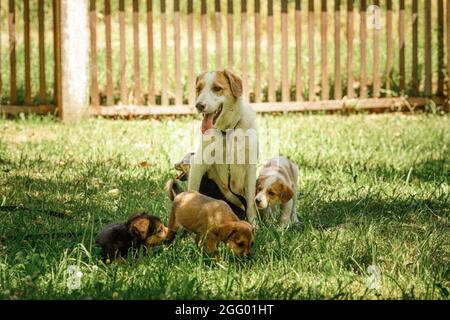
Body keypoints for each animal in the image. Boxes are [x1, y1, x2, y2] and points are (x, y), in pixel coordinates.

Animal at [186, 69, 258, 225]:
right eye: (199, 89)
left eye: (217, 88)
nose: (199, 105)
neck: (227, 131)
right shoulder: (198, 165)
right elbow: (191, 193)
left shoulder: (250, 167)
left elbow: (250, 201)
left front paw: (254, 223)